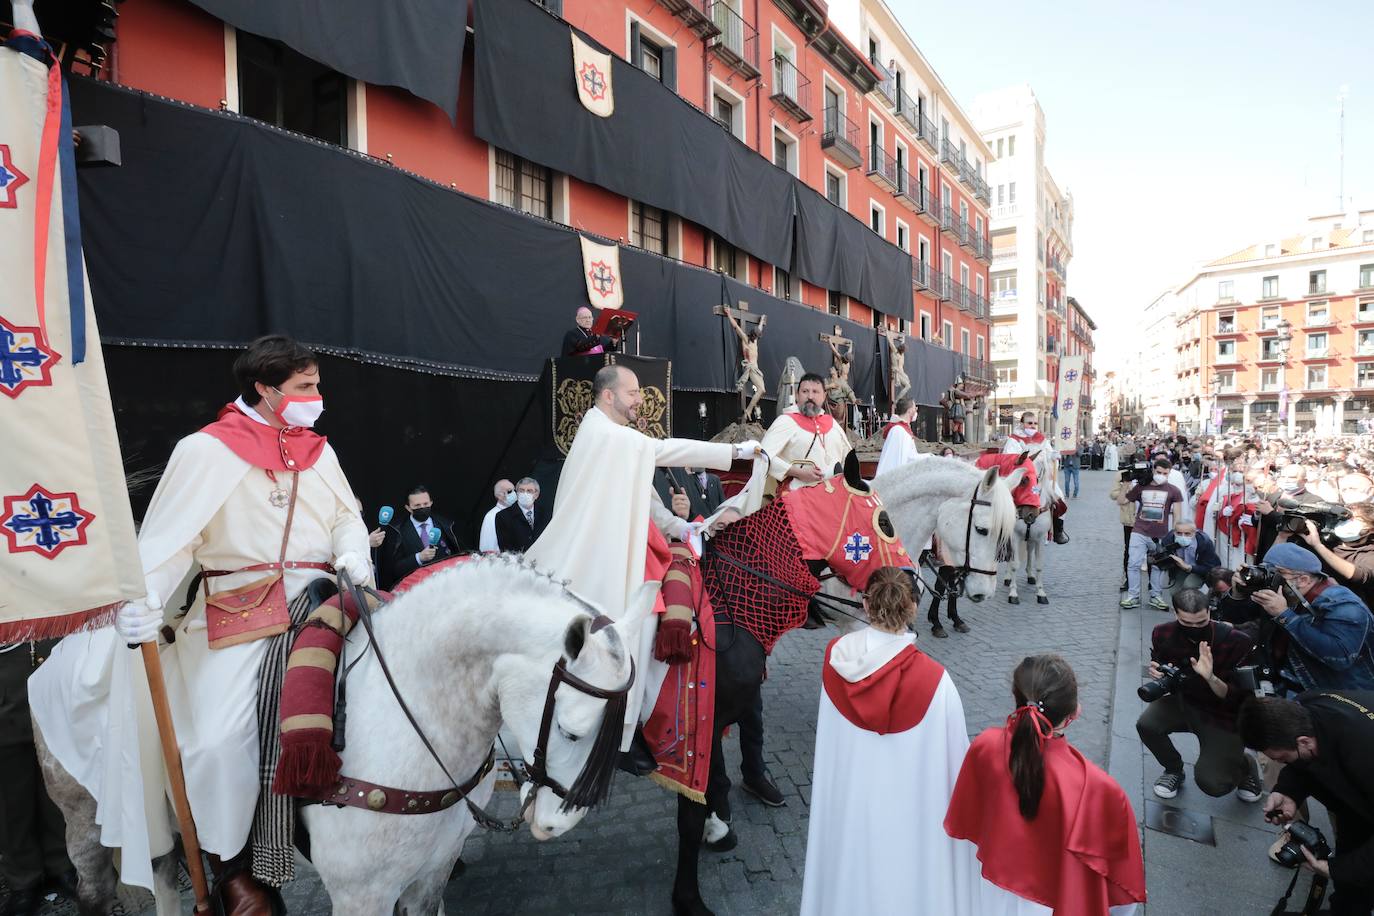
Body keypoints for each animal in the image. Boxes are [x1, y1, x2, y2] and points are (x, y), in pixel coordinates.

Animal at [1005, 447, 1055, 604]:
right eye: (1023, 480)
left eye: (1038, 477)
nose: (1031, 514)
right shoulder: (1014, 537)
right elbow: (1015, 564)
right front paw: (1013, 593)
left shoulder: (1039, 538)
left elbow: (1039, 565)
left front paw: (1041, 592)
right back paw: (1008, 577)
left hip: (1031, 539)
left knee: (1029, 551)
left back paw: (1030, 575)